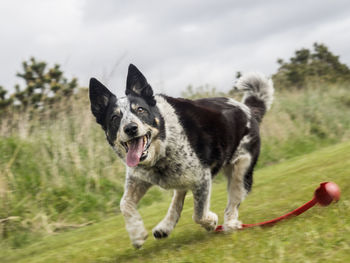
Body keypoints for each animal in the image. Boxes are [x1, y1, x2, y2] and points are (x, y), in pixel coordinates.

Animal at [88, 64, 274, 250]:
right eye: (114, 118)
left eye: (140, 110)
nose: (131, 128)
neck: (163, 143)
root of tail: (249, 110)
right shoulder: (138, 178)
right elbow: (124, 203)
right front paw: (137, 234)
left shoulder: (201, 178)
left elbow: (198, 214)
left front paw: (211, 221)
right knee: (179, 195)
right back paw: (165, 226)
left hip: (241, 173)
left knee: (232, 204)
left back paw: (230, 225)